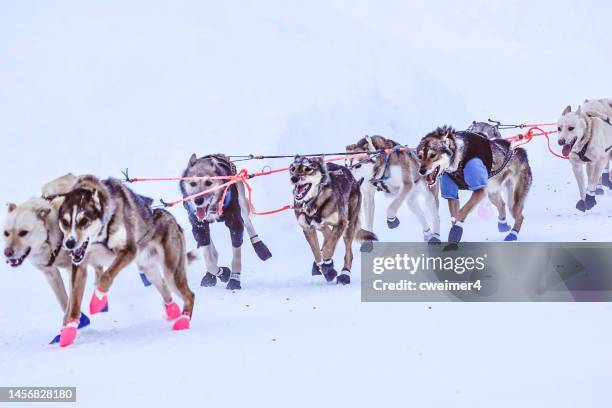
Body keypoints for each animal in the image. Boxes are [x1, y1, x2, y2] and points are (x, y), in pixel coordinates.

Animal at [179, 153, 270, 290]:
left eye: (209, 183)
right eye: (193, 183)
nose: (198, 200)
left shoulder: (235, 223)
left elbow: (236, 256)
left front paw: (234, 279)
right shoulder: (199, 226)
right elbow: (209, 259)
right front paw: (221, 273)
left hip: (242, 202)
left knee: (248, 222)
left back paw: (260, 247)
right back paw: (210, 275)